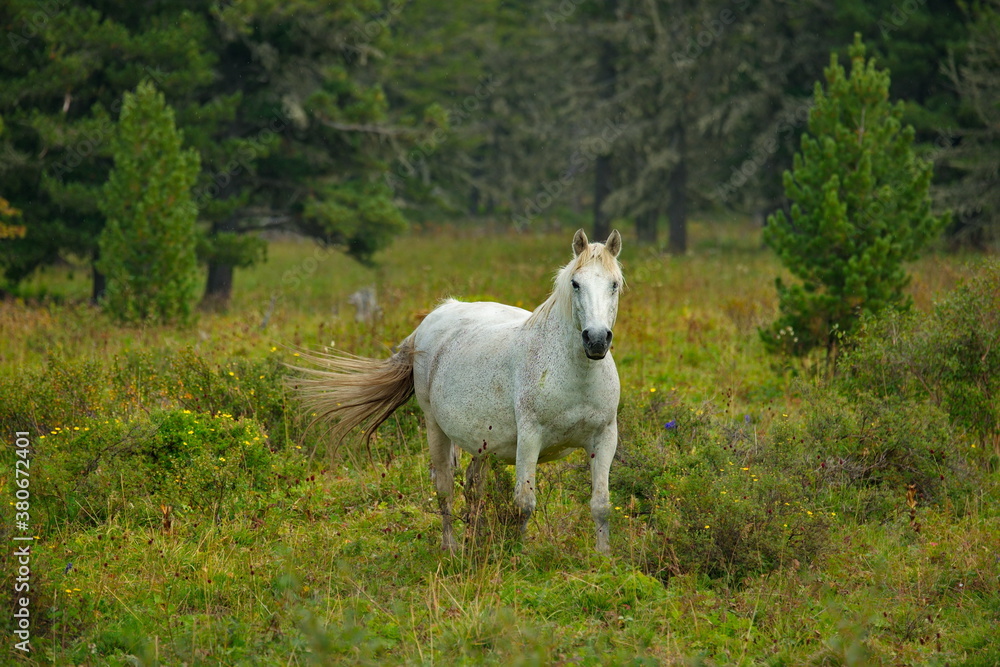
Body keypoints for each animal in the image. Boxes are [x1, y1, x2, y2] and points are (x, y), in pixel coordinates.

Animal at [294, 230, 624, 552]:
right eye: (575, 284)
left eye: (615, 284)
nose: (596, 340)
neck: (576, 375)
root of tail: (438, 313)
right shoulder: (530, 438)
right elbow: (524, 504)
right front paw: (520, 555)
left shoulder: (604, 437)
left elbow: (601, 505)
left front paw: (604, 558)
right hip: (435, 427)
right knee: (445, 488)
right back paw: (451, 546)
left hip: (482, 440)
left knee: (473, 485)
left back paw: (473, 538)